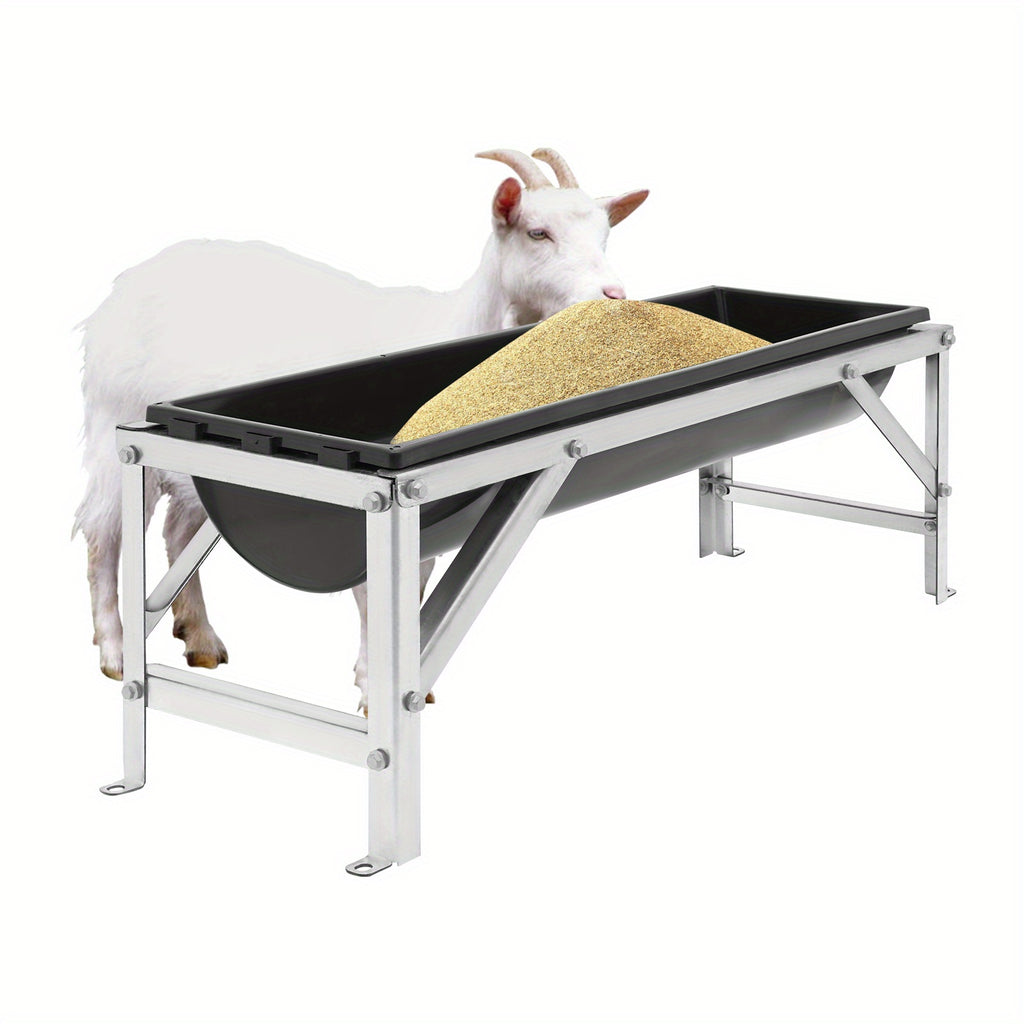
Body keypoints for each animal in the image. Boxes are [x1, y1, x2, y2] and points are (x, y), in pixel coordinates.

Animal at [75, 147, 649, 711]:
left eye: (605, 236)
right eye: (537, 232)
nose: (613, 297)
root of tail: (130, 280)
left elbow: (416, 582)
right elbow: (374, 595)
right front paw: (375, 687)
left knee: (176, 531)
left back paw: (200, 639)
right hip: (112, 423)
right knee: (104, 530)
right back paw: (115, 651)